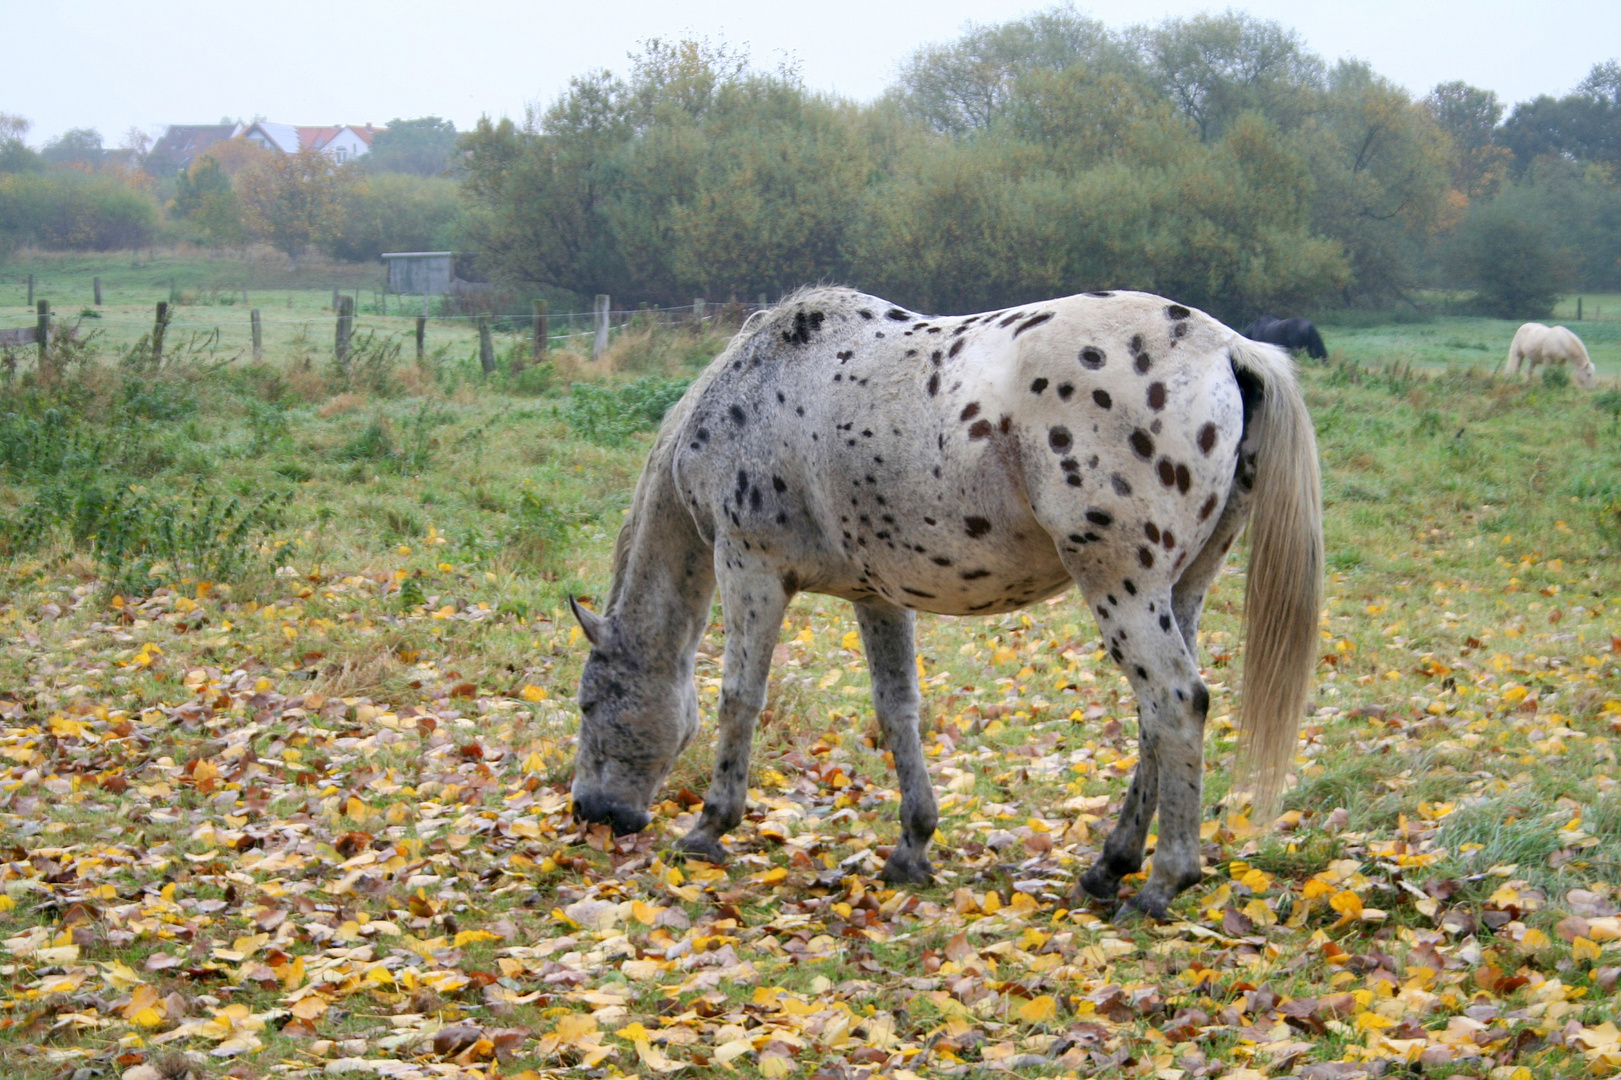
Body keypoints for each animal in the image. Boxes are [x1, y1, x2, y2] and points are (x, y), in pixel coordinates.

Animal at [567, 287, 1323, 919]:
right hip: (1183, 587)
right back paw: (1108, 867)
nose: (591, 813)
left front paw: (709, 827)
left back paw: (1162, 883)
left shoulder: (748, 566)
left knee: (1175, 702)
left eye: (589, 703)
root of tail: (1227, 348)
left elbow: (738, 698)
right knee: (1154, 721)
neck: (758, 383)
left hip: (1122, 587)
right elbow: (897, 709)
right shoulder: (875, 594)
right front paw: (913, 845)